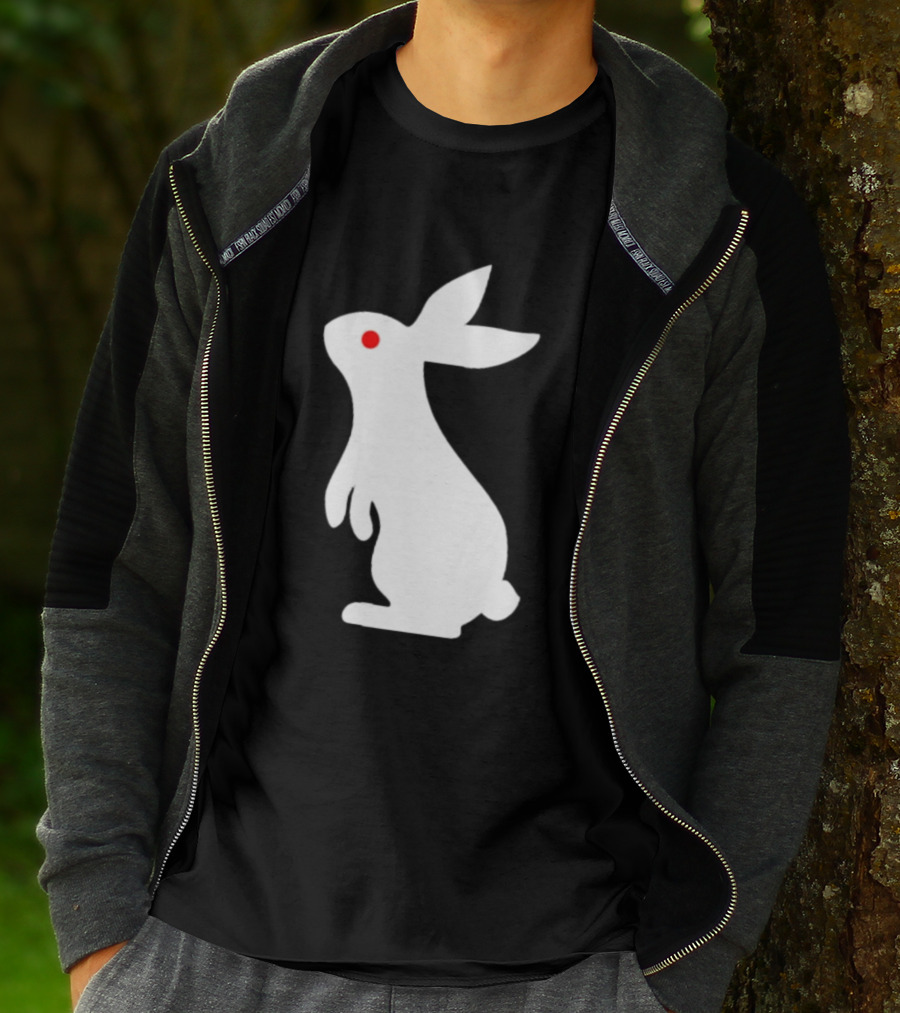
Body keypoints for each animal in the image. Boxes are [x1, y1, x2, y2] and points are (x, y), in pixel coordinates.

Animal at [323, 264, 540, 639]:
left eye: (369, 339)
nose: (327, 328)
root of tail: (483, 600)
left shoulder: (364, 465)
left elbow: (351, 492)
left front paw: (356, 526)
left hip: (389, 566)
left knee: (439, 628)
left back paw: (366, 613)